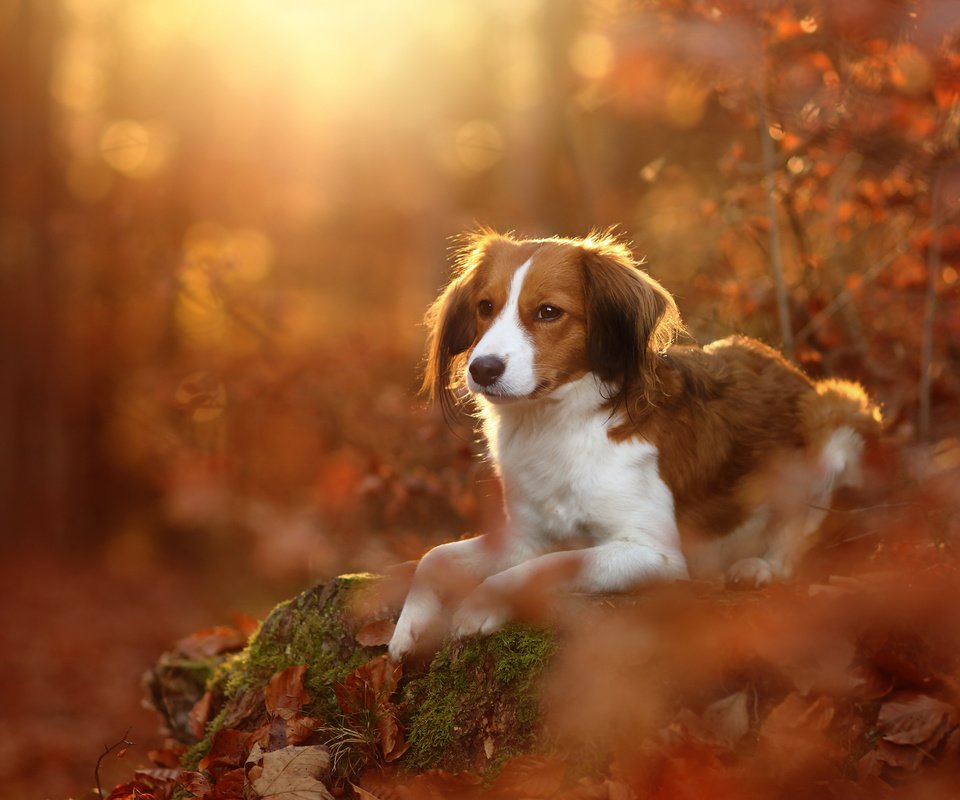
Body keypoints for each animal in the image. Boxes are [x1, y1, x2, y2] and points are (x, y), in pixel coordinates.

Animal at [386, 228, 880, 660]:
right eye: (485, 307)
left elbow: (543, 568)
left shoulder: (653, 553)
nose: (483, 369)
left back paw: (758, 567)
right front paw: (411, 628)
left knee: (799, 535)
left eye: (548, 312)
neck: (558, 423)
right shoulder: (527, 535)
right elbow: (434, 557)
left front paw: (479, 605)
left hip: (836, 414)